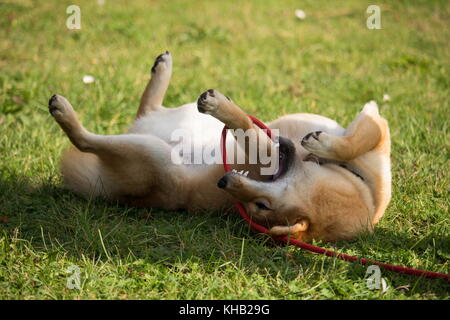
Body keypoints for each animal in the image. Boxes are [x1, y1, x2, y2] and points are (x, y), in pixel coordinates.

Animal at [47, 51, 388, 241]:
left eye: (260, 207)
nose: (225, 182)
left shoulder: (266, 155)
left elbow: (249, 129)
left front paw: (225, 110)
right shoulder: (374, 131)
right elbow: (360, 137)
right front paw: (326, 143)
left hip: (150, 154)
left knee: (86, 140)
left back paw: (65, 113)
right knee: (147, 107)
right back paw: (162, 68)